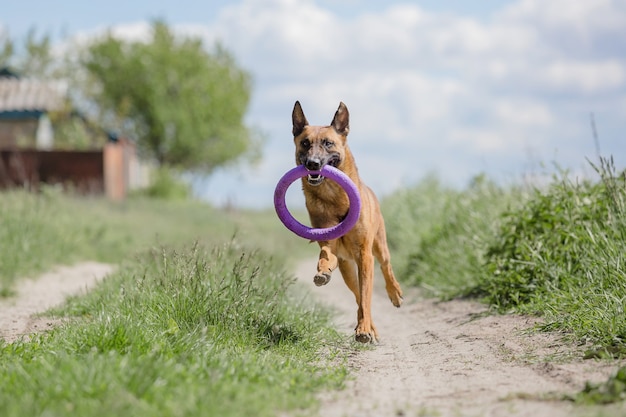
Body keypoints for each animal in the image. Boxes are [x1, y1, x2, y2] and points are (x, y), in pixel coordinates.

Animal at [290, 100, 402, 342]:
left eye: (328, 143)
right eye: (305, 143)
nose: (312, 164)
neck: (334, 196)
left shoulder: (365, 255)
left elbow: (367, 296)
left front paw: (364, 328)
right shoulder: (329, 243)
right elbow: (325, 256)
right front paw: (322, 271)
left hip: (379, 247)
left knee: (385, 267)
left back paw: (394, 294)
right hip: (348, 270)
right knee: (357, 295)